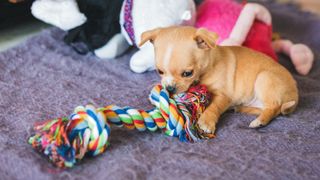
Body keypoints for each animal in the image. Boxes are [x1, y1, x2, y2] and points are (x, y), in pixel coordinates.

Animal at [139, 26, 298, 134]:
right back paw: (241, 108)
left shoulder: (223, 96)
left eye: (187, 73)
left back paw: (259, 121)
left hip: (264, 78)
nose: (170, 89)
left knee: (274, 107)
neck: (207, 69)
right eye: (160, 71)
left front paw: (206, 122)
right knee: (267, 108)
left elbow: (213, 107)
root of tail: (295, 94)